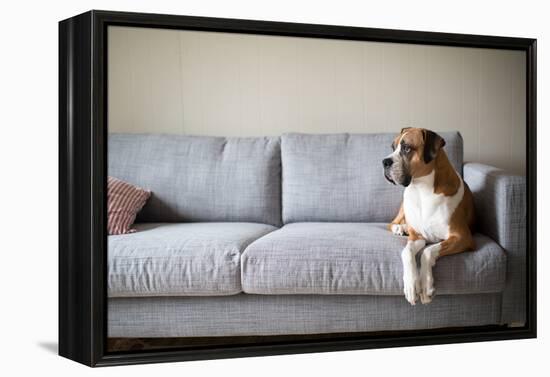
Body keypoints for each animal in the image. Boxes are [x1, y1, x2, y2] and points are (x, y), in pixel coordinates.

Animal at [386, 128, 476, 304]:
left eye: (406, 148)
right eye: (393, 147)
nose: (384, 162)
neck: (421, 189)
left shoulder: (462, 237)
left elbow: (427, 252)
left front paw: (426, 286)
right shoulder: (417, 237)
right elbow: (406, 252)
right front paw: (411, 285)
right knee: (392, 223)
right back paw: (400, 228)